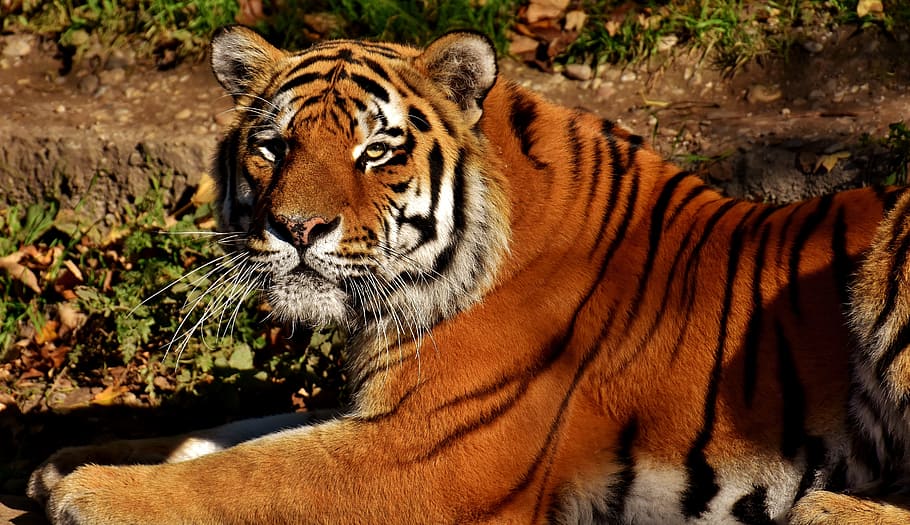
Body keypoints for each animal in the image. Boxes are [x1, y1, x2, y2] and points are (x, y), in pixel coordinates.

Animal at [26, 25, 910, 524]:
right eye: (274, 147)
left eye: (376, 150)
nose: (296, 228)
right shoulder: (387, 412)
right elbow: (236, 432)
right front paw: (69, 459)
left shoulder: (426, 455)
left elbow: (248, 475)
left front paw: (90, 492)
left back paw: (823, 508)